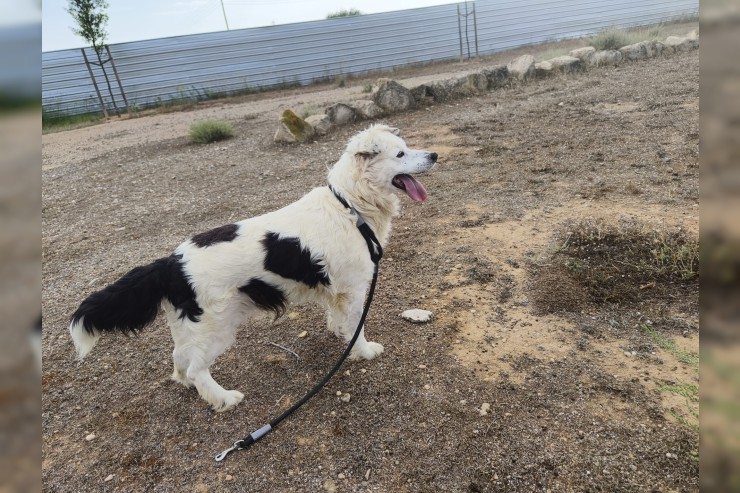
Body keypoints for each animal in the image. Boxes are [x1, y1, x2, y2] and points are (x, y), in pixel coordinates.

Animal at [69, 123, 436, 412]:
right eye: (400, 154)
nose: (434, 155)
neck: (350, 206)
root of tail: (171, 263)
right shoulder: (354, 288)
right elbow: (357, 326)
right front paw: (362, 351)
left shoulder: (335, 290)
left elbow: (339, 319)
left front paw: (339, 334)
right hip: (217, 327)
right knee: (196, 368)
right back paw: (223, 398)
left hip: (190, 326)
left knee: (179, 357)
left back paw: (187, 385)